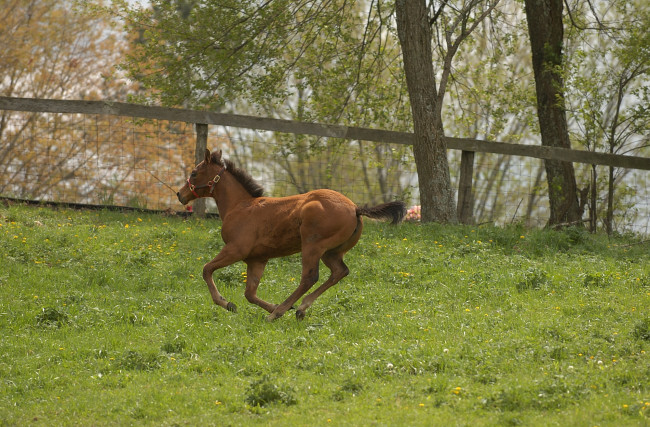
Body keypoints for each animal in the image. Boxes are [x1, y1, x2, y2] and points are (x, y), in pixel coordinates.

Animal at [175, 150, 402, 320]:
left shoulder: (235, 250)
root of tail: (355, 208)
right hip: (331, 252)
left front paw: (227, 303)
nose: (179, 194)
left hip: (312, 246)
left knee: (310, 277)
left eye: (194, 173)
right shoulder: (257, 259)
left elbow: (207, 269)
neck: (240, 206)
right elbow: (250, 294)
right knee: (340, 272)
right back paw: (298, 308)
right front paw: (268, 305)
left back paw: (279, 312)